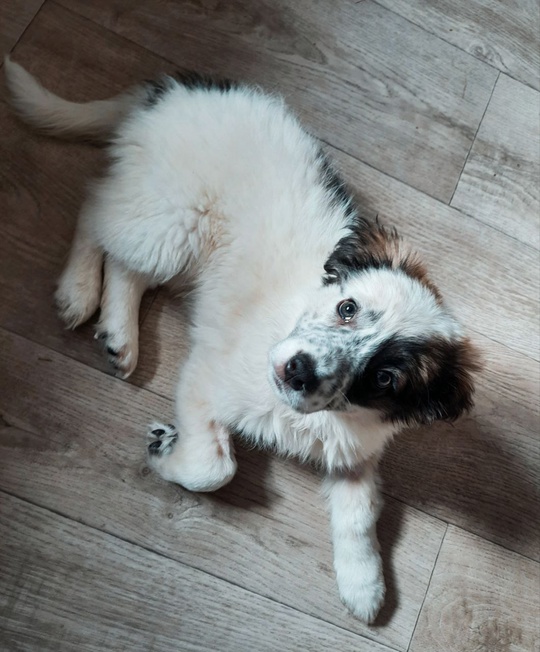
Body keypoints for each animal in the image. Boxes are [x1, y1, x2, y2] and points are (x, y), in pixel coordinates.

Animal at [5, 57, 480, 623]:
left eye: (386, 378)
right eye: (347, 308)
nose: (297, 372)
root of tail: (178, 90)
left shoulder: (355, 447)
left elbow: (360, 513)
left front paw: (364, 583)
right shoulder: (205, 379)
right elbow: (214, 468)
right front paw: (166, 454)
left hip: (172, 234)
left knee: (127, 263)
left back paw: (119, 334)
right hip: (170, 220)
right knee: (95, 209)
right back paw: (78, 290)